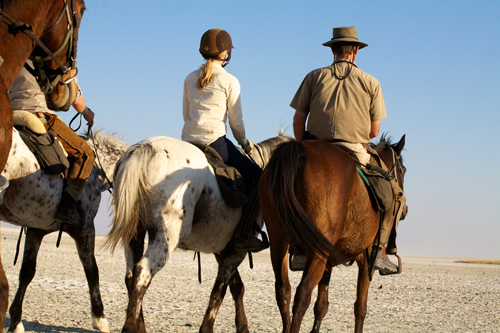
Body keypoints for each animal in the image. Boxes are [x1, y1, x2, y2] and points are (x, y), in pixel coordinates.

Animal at [0, 125, 128, 332]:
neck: (95, 172)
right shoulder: (85, 228)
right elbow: (92, 271)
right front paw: (100, 319)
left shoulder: (36, 229)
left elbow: (26, 272)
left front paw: (16, 322)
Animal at [103, 133, 292, 332]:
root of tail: (146, 148)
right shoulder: (236, 252)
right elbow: (219, 290)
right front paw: (208, 327)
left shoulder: (222, 251)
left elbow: (236, 288)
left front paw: (242, 326)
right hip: (166, 236)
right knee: (142, 273)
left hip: (134, 235)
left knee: (131, 276)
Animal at [258, 135, 406, 332]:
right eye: (403, 170)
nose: (405, 210)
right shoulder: (366, 261)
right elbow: (360, 307)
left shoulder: (328, 261)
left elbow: (321, 305)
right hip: (316, 250)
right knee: (302, 294)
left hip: (279, 241)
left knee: (283, 291)